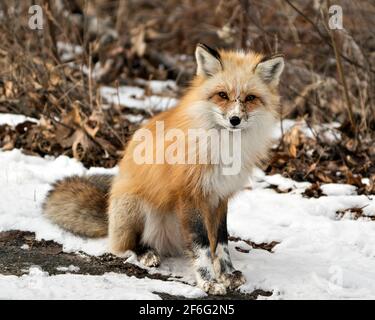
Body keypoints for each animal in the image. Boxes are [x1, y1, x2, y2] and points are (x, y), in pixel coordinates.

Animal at [43, 43, 284, 296]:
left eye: (250, 98)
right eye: (222, 95)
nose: (235, 120)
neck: (223, 146)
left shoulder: (219, 196)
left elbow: (220, 241)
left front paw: (227, 274)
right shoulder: (191, 194)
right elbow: (201, 246)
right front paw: (208, 281)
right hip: (136, 206)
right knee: (127, 244)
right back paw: (146, 254)